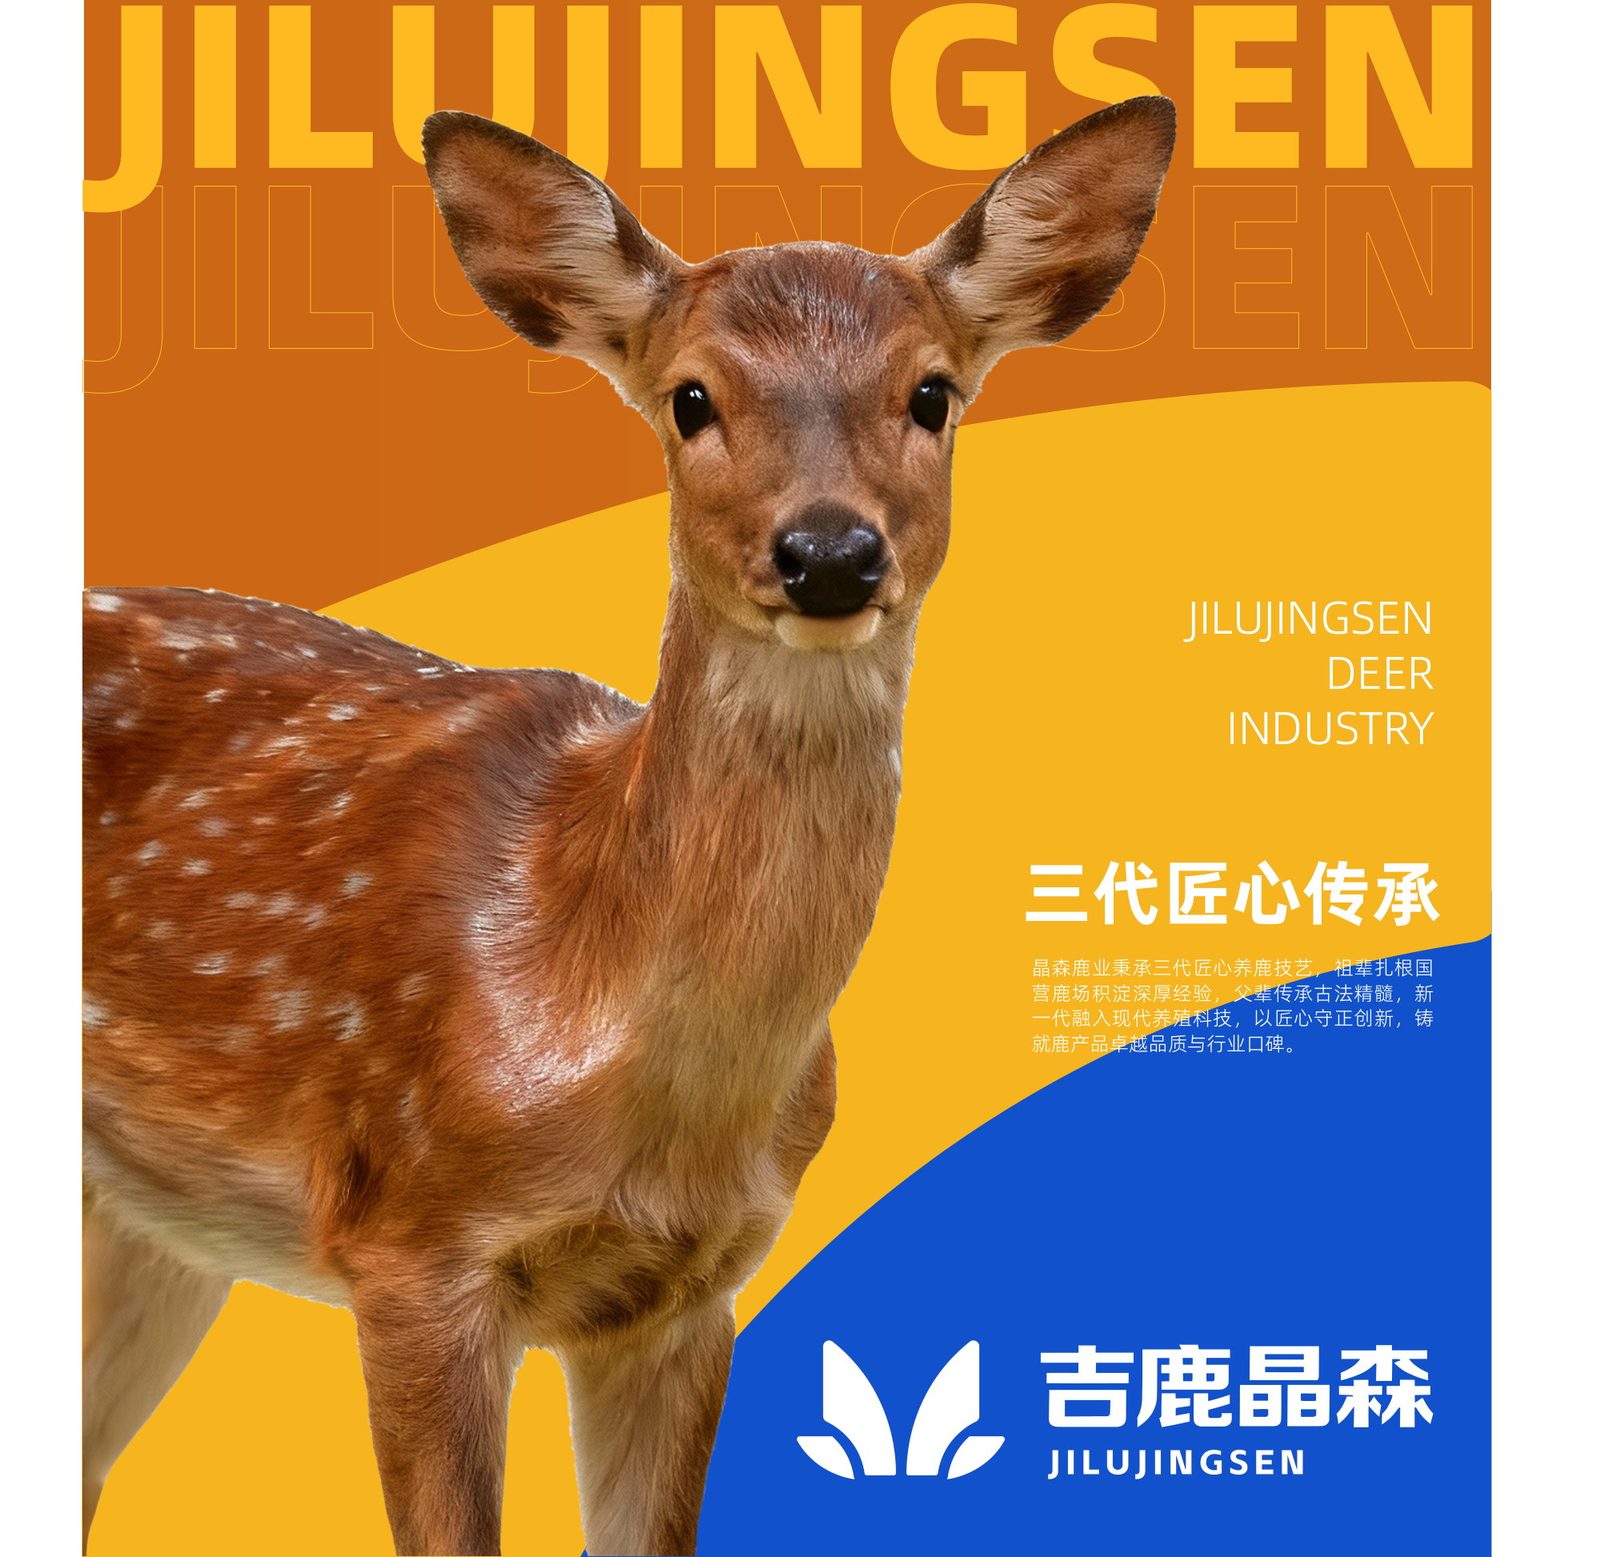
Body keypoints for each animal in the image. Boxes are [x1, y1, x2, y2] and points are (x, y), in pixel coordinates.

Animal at [82, 96, 1175, 1556]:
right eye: (692, 398)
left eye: (931, 393)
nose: (830, 555)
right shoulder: (409, 1238)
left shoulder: (693, 1286)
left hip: (152, 1220)